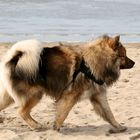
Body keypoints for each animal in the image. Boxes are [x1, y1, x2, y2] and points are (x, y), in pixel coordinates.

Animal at [0, 34, 135, 132]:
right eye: (124, 56)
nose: (134, 62)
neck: (92, 63)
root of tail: (15, 59)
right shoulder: (70, 96)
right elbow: (63, 114)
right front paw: (56, 128)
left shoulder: (98, 95)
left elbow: (109, 114)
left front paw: (119, 126)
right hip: (35, 94)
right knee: (22, 112)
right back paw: (36, 126)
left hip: (10, 97)